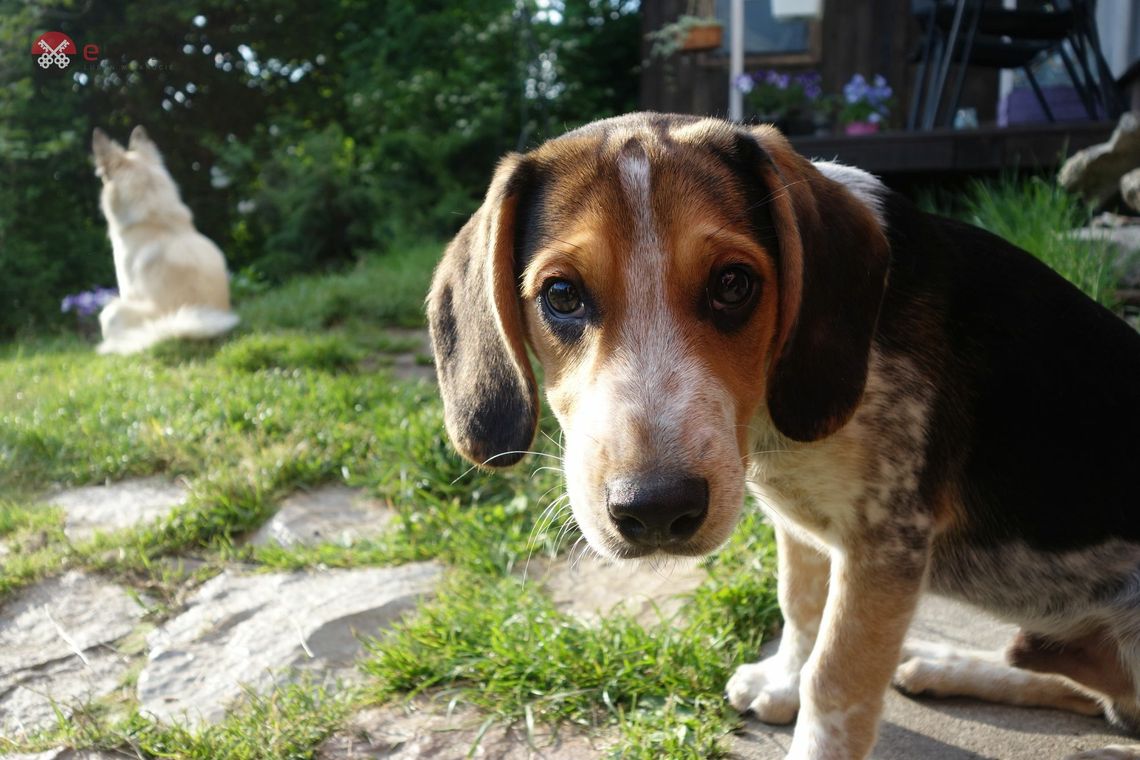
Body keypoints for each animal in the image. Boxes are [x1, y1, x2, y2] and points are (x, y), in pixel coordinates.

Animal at [426, 112, 1140, 760]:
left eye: (733, 284)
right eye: (562, 296)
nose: (655, 511)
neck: (773, 432)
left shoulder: (886, 541)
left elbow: (836, 679)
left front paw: (809, 699)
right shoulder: (804, 523)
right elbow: (799, 605)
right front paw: (783, 680)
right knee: (1089, 694)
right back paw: (946, 665)